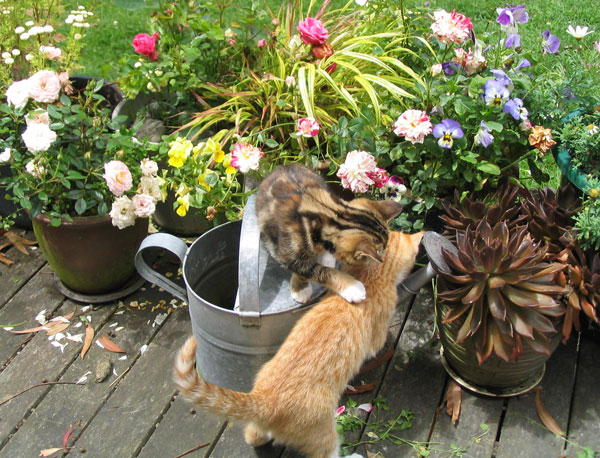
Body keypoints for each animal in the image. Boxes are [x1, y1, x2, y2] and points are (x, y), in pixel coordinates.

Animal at [173, 233, 424, 458]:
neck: (372, 275)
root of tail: (266, 398)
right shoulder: (377, 334)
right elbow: (377, 344)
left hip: (261, 414)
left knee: (253, 434)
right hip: (324, 433)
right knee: (327, 452)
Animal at [254, 163, 400, 302]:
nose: (379, 261)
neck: (329, 213)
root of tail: (283, 165)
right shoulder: (287, 254)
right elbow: (317, 271)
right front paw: (352, 287)